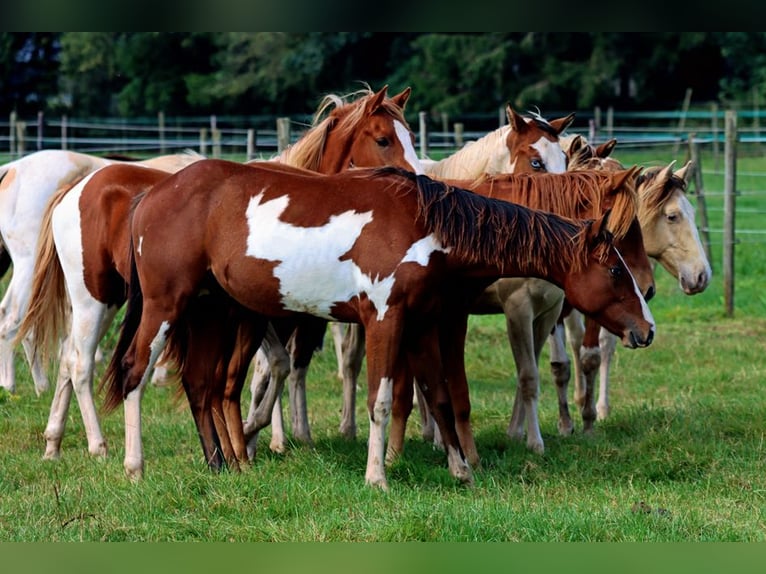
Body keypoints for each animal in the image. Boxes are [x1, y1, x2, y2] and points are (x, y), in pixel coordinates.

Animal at [15, 84, 424, 468]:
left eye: (411, 136)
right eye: (383, 139)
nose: (417, 185)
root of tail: (75, 189)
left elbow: (267, 372)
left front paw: (253, 440)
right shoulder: (255, 317)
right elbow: (266, 370)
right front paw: (255, 437)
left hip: (110, 302)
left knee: (68, 359)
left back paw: (54, 441)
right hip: (95, 299)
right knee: (82, 364)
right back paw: (99, 445)